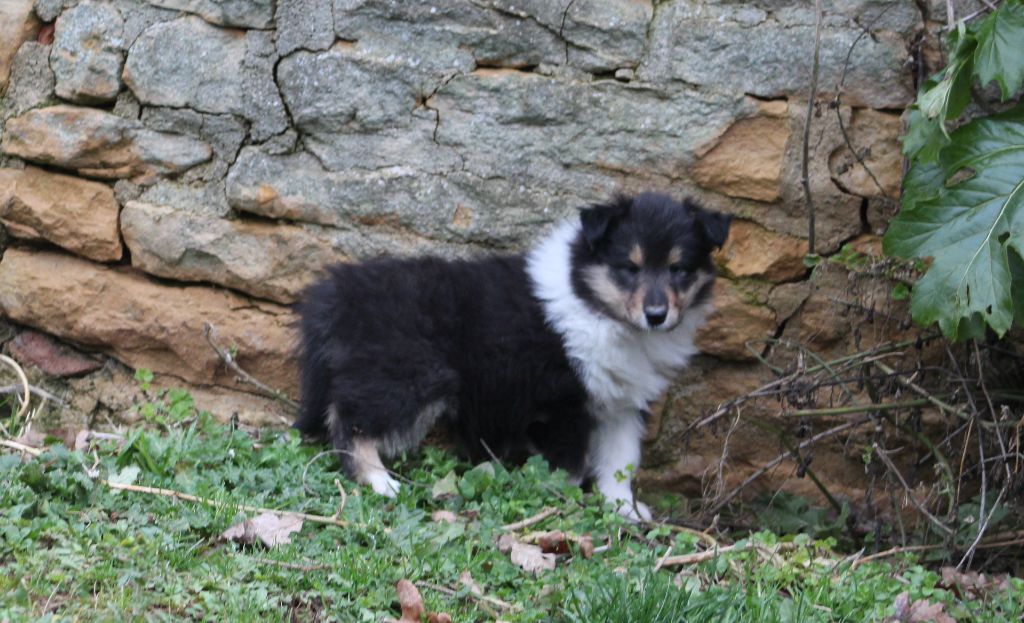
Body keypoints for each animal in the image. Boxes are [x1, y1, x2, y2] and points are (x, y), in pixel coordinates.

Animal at [293, 192, 730, 521]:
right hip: (408, 374)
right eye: (629, 268)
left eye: (679, 269)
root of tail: (335, 294)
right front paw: (567, 504)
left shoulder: (621, 403)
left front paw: (625, 508)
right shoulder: (561, 404)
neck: (596, 307)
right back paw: (380, 481)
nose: (656, 315)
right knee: (351, 424)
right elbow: (571, 466)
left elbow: (621, 460)